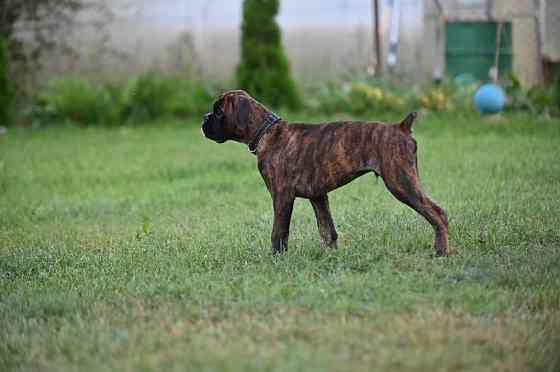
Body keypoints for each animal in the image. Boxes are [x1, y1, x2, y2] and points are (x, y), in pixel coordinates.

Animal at [201, 91, 450, 258]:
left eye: (219, 111)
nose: (204, 118)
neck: (266, 132)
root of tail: (401, 127)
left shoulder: (282, 197)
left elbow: (279, 232)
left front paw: (276, 258)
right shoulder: (318, 196)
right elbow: (327, 229)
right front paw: (331, 257)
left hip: (401, 182)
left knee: (437, 213)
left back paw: (441, 251)